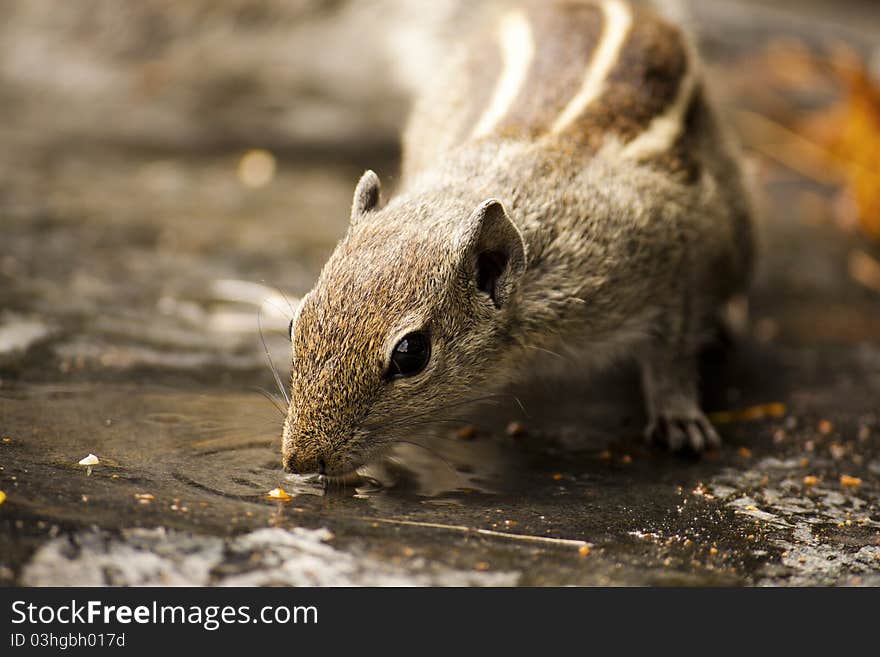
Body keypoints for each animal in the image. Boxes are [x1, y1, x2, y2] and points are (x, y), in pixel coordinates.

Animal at [282, 0, 756, 474]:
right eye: (294, 324)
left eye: (411, 354)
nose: (301, 460)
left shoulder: (667, 255)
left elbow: (672, 349)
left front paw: (680, 418)